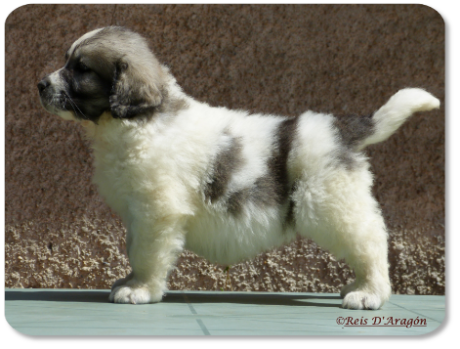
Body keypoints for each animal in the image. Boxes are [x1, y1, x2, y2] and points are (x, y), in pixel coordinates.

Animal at [37, 27, 440, 310]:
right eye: (66, 61)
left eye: (81, 68)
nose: (41, 84)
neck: (138, 121)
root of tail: (343, 128)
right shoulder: (139, 214)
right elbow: (133, 249)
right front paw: (130, 282)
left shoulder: (157, 211)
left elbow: (146, 254)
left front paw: (141, 290)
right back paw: (357, 287)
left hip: (330, 204)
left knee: (370, 242)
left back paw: (368, 293)